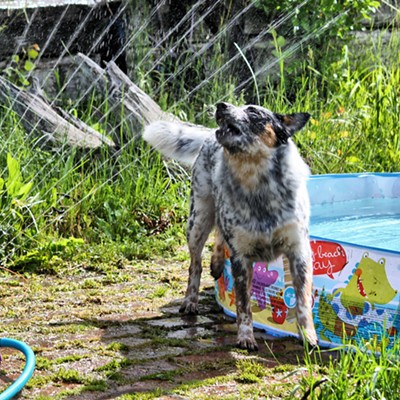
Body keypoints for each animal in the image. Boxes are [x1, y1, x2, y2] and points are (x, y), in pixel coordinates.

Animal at [142, 103, 318, 350]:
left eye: (253, 111)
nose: (221, 105)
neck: (257, 185)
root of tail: (208, 135)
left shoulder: (298, 252)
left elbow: (302, 301)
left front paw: (308, 335)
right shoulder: (241, 258)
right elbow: (243, 305)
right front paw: (246, 337)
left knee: (218, 236)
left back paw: (216, 263)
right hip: (198, 221)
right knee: (195, 264)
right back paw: (191, 299)